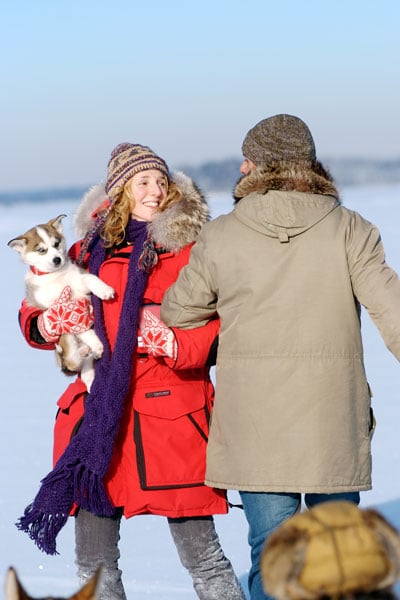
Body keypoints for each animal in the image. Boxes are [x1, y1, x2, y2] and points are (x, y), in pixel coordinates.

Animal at [7, 213, 114, 392]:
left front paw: (104, 290)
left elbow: (89, 278)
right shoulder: (57, 308)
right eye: (41, 250)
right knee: (73, 361)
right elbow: (79, 327)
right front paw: (94, 341)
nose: (57, 259)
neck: (56, 276)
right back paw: (88, 349)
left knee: (85, 368)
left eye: (56, 244)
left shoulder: (78, 282)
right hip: (66, 342)